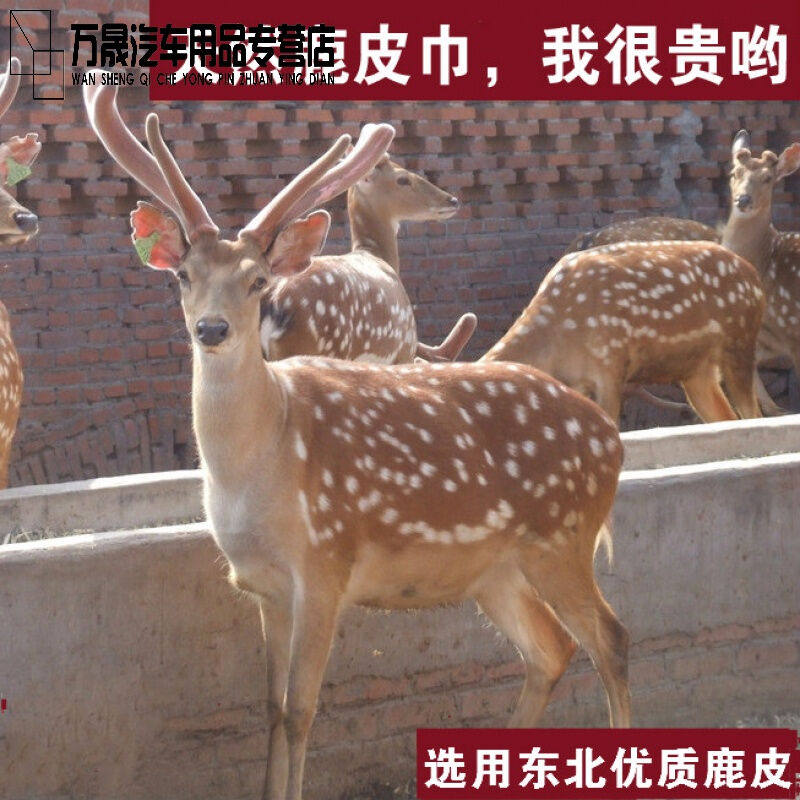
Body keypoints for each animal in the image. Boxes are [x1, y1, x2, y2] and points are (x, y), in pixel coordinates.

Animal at [482, 240, 765, 424]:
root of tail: (754, 276)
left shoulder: (610, 364)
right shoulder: (578, 383)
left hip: (740, 342)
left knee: (753, 415)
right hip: (696, 370)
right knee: (726, 417)